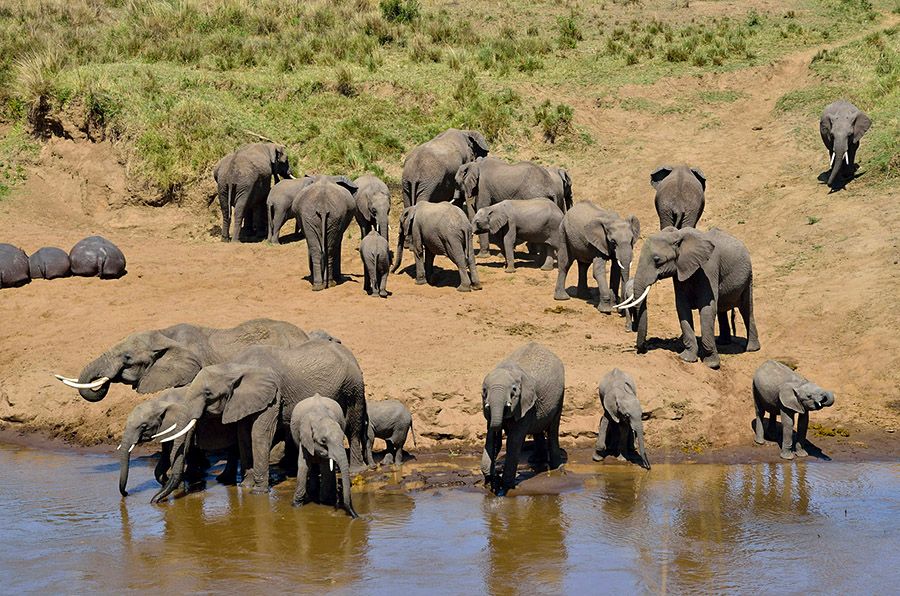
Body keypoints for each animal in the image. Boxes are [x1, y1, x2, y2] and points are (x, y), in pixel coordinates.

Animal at [149, 338, 368, 500]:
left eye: (208, 394)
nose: (155, 500)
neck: (235, 367)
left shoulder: (273, 396)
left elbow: (259, 434)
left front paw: (258, 491)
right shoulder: (243, 400)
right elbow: (243, 435)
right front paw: (246, 486)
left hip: (353, 386)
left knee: (353, 426)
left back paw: (357, 470)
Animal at [481, 342, 565, 496]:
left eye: (514, 391)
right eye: (484, 391)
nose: (494, 476)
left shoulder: (525, 403)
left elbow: (514, 440)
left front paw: (506, 487)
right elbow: (490, 437)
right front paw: (492, 482)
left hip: (560, 396)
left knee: (553, 428)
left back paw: (558, 468)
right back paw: (536, 460)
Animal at [617, 226, 760, 369]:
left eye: (657, 260)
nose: (643, 349)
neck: (677, 235)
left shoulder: (708, 268)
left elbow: (707, 308)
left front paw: (712, 364)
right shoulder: (679, 271)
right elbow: (682, 307)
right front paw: (687, 358)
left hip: (748, 276)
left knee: (746, 308)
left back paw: (752, 349)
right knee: (722, 309)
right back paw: (723, 342)